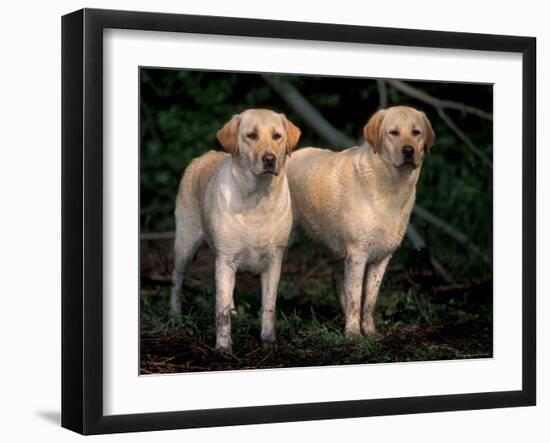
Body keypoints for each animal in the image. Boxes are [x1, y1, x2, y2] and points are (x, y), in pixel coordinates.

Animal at [170, 106, 438, 352]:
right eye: (393, 133)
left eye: (416, 133)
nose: (408, 151)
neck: (389, 185)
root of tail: (203, 156)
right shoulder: (357, 254)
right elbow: (355, 298)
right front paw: (353, 335)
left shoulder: (381, 258)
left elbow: (368, 300)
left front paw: (369, 332)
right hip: (185, 245)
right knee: (176, 280)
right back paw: (176, 317)